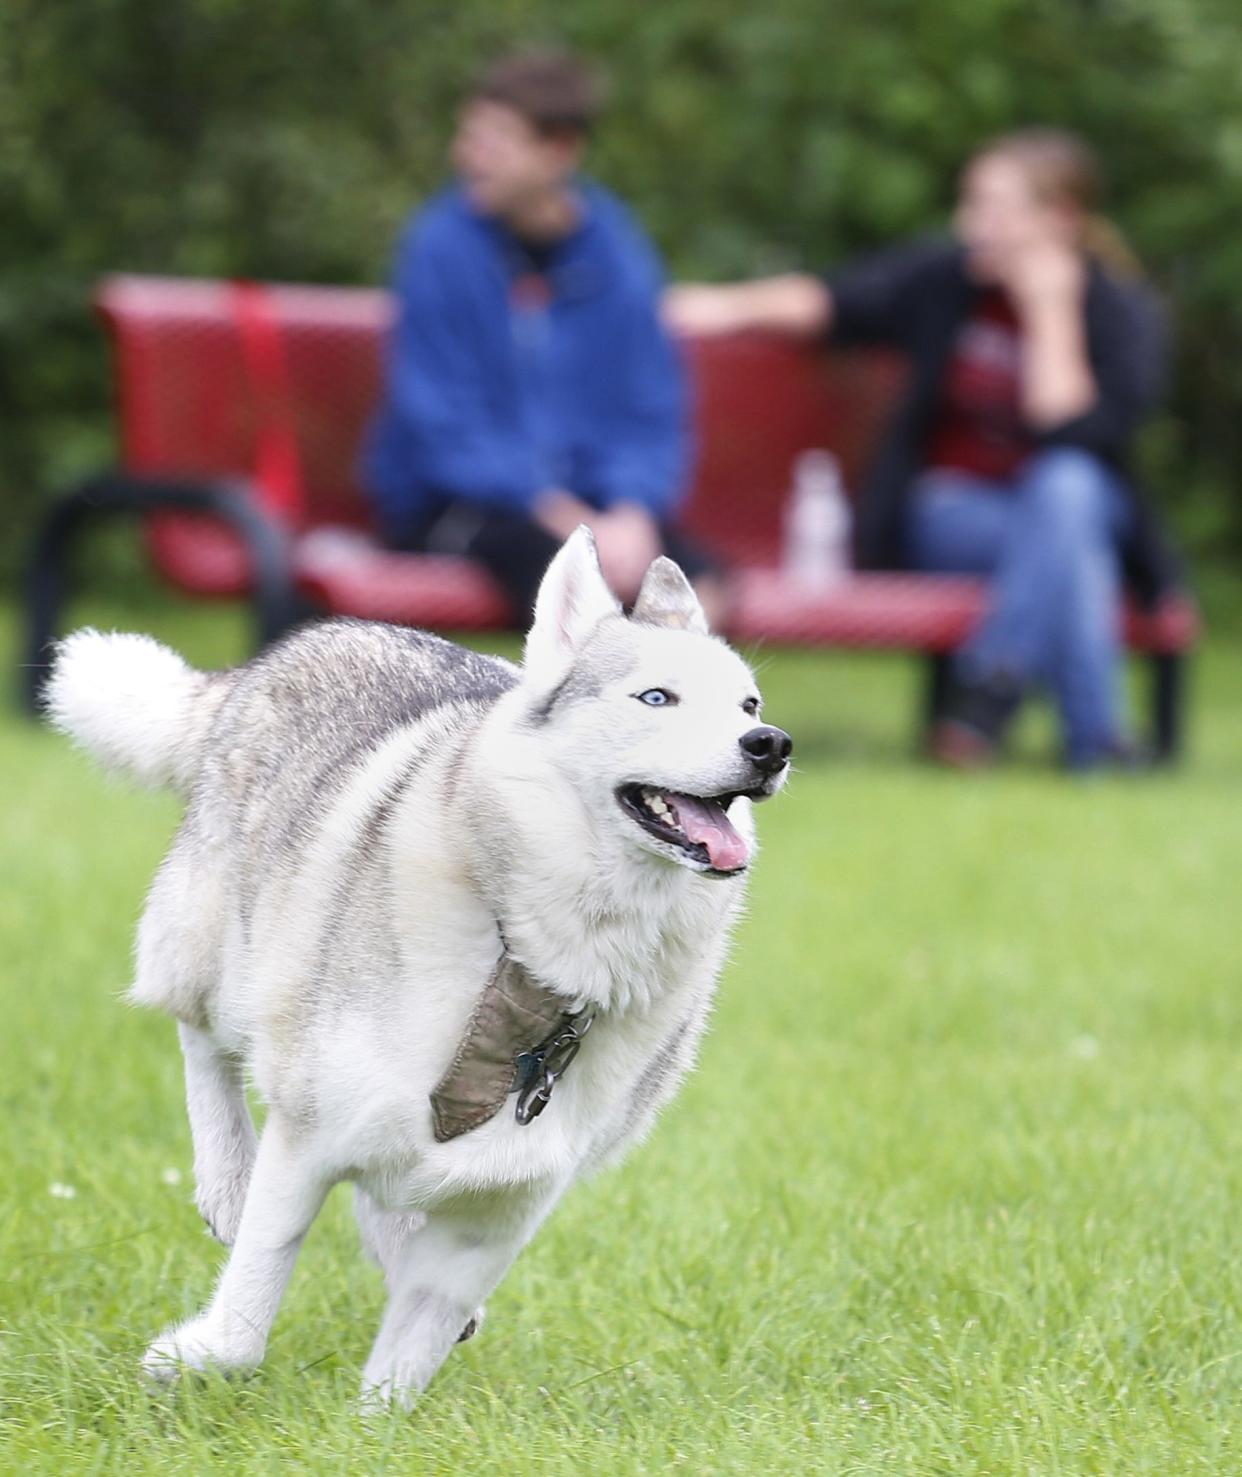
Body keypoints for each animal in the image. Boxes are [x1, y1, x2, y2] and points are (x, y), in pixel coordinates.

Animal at [48, 525, 791, 1400]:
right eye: (656, 699)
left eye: (748, 704)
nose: (770, 745)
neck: (541, 962)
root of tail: (294, 647)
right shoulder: (305, 1133)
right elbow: (250, 1303)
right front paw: (192, 1355)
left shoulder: (504, 1206)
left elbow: (412, 1347)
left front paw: (371, 1417)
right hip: (222, 958)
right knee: (202, 1042)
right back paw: (227, 1177)